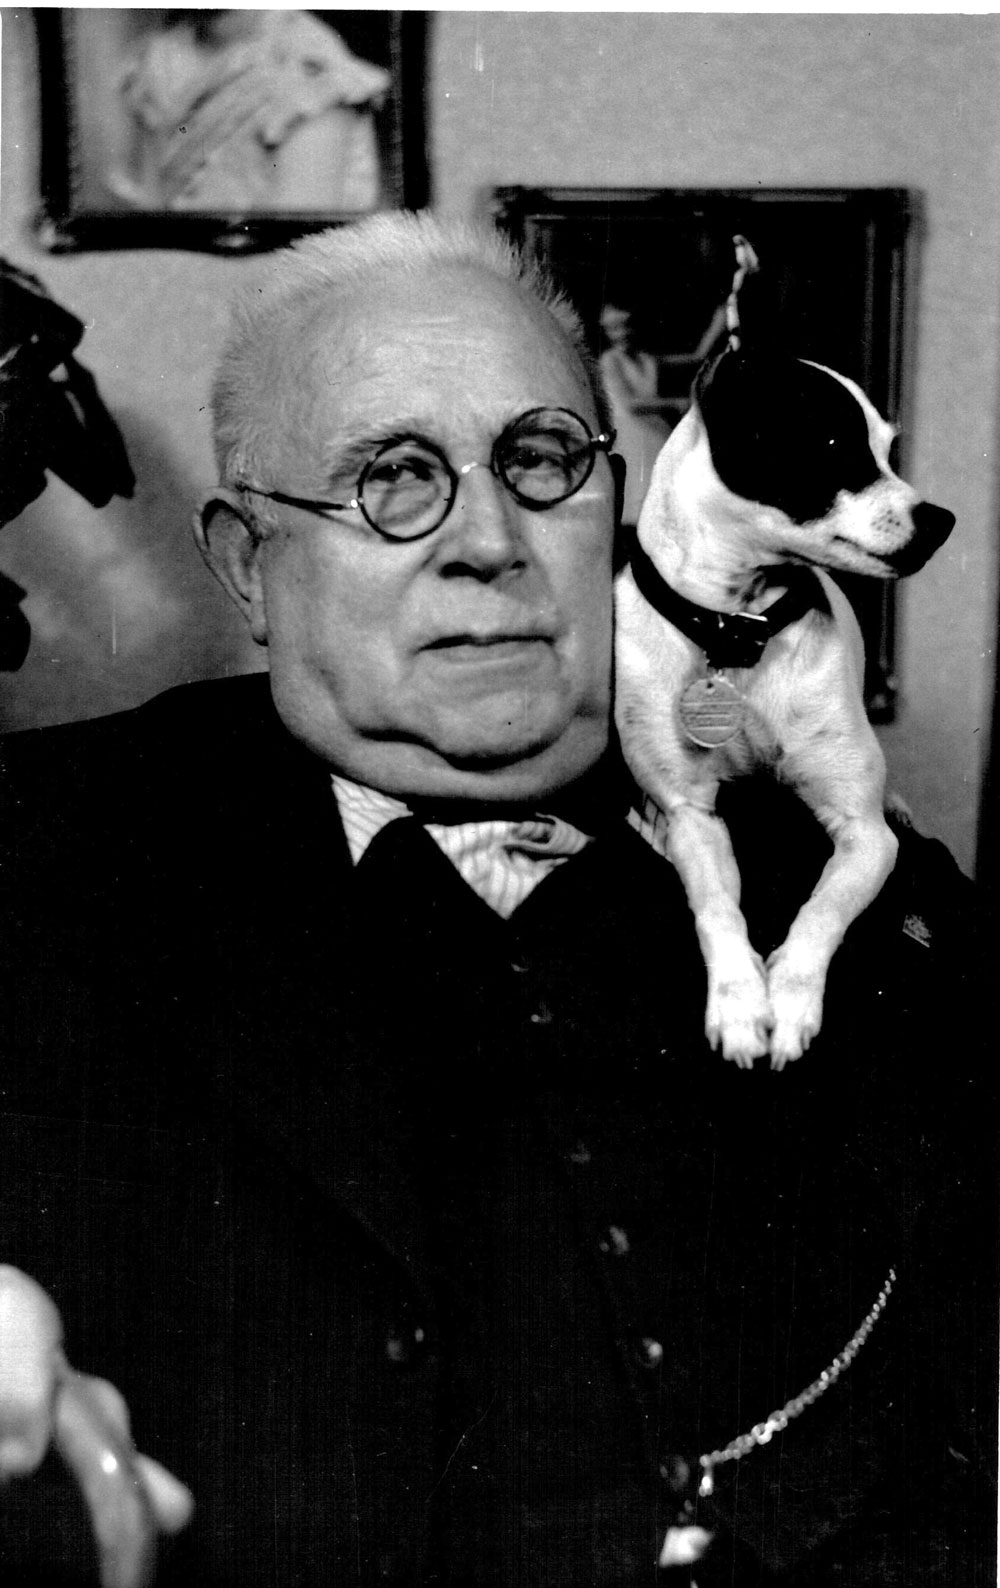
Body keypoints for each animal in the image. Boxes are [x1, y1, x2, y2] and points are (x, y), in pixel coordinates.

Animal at [614, 254, 955, 1069]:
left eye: (891, 448)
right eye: (831, 444)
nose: (943, 521)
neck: (736, 632)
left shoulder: (865, 833)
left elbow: (824, 908)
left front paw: (791, 999)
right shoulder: (693, 812)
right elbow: (716, 904)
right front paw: (740, 1001)